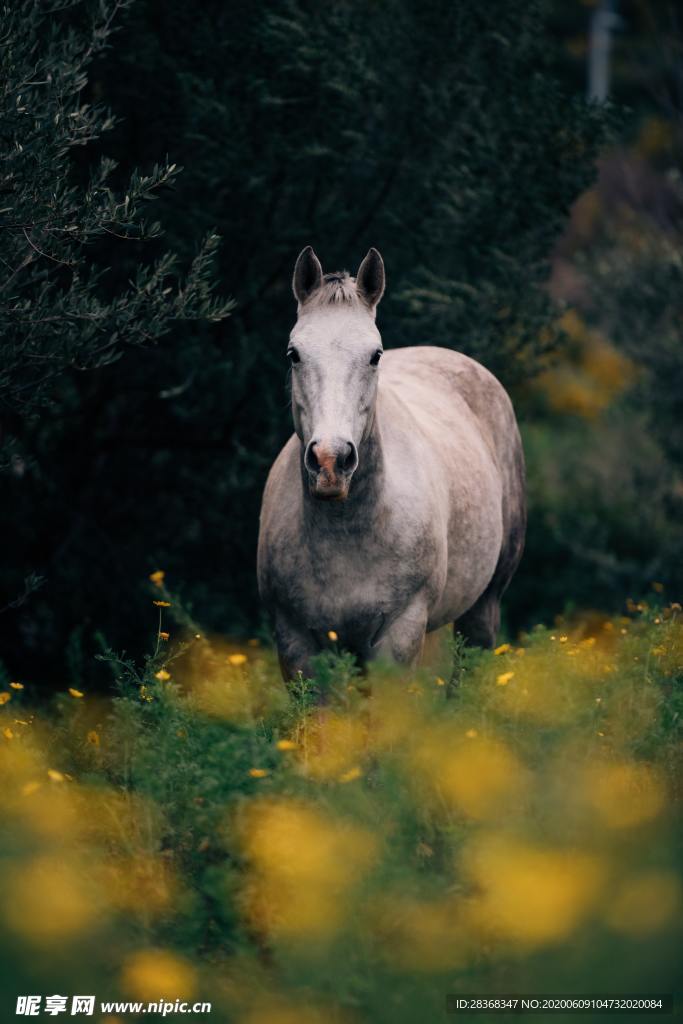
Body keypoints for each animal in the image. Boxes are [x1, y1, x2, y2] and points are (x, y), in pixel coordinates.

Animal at [257, 246, 526, 681]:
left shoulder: (399, 636)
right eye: (293, 353)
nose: (330, 461)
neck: (347, 533)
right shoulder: (296, 641)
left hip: (484, 607)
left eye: (375, 355)